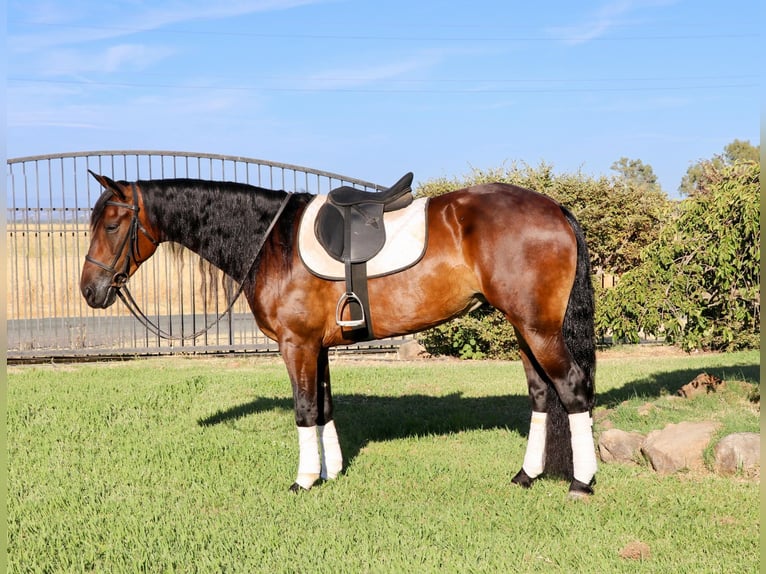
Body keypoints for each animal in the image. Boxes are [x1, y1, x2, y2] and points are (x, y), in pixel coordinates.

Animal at [80, 172, 598, 497]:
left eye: (113, 224)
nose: (89, 290)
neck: (272, 241)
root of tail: (555, 208)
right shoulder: (319, 346)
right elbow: (325, 408)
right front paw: (331, 472)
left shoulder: (296, 345)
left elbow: (305, 410)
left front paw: (305, 479)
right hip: (524, 328)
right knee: (541, 393)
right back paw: (526, 475)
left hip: (538, 328)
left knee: (572, 390)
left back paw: (581, 482)